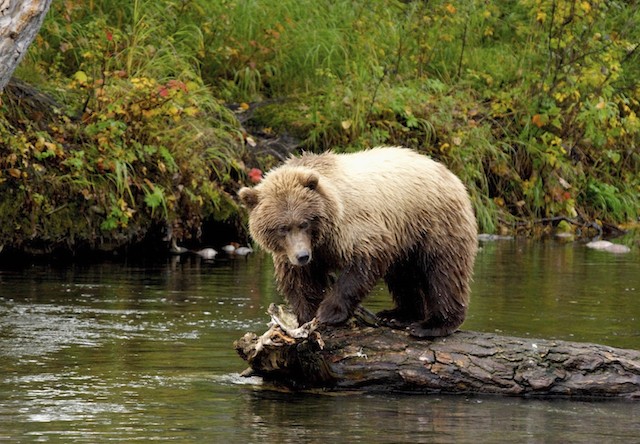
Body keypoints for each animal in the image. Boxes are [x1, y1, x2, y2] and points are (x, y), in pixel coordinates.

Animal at [238, 146, 478, 336]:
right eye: (282, 228)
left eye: (304, 223)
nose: (302, 256)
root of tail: (449, 173)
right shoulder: (292, 253)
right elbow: (300, 281)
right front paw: (306, 316)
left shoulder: (352, 227)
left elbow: (363, 262)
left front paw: (328, 312)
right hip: (406, 236)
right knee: (403, 275)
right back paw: (398, 315)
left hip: (433, 222)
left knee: (443, 271)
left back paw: (433, 325)